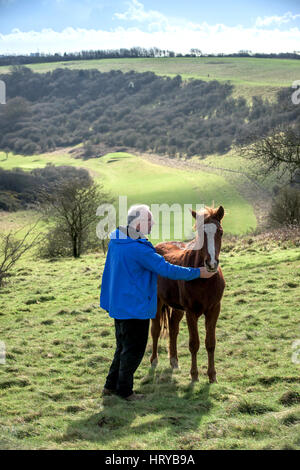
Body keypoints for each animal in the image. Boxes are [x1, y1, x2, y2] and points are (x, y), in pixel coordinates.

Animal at [150, 205, 225, 382]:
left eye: (220, 232)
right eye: (199, 233)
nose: (211, 263)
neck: (204, 280)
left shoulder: (214, 310)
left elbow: (210, 343)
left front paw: (212, 376)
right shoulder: (191, 313)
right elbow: (194, 344)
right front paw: (194, 375)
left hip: (177, 308)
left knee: (173, 328)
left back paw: (174, 361)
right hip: (157, 303)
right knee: (156, 330)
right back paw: (154, 360)